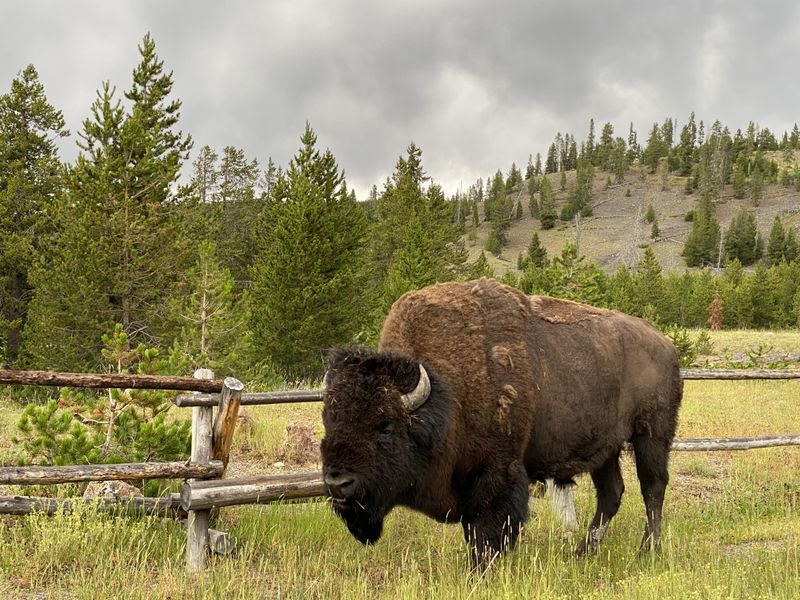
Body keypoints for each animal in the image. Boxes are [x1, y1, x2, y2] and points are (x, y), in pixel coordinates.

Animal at [321, 278, 682, 567]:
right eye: (329, 420)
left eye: (385, 426)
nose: (338, 482)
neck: (446, 396)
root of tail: (666, 344)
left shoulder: (496, 473)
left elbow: (487, 531)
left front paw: (482, 569)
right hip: (605, 448)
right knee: (611, 493)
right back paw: (583, 552)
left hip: (651, 435)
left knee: (653, 487)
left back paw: (647, 550)